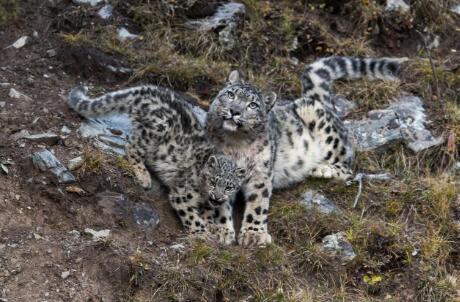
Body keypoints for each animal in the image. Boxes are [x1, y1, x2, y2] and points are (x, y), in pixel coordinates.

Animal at [64, 85, 248, 245]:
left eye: (229, 187)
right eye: (213, 181)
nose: (217, 197)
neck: (203, 194)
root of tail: (145, 90)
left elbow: (208, 213)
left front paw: (212, 226)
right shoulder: (182, 194)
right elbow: (192, 216)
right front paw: (202, 233)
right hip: (156, 129)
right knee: (131, 146)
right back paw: (144, 176)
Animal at [207, 55, 408, 247]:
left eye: (253, 105)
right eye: (230, 94)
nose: (234, 111)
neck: (236, 143)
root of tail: (321, 102)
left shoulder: (260, 173)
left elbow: (258, 203)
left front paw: (254, 235)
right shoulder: (218, 170)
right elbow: (219, 202)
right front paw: (220, 231)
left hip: (320, 124)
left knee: (348, 165)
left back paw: (322, 169)